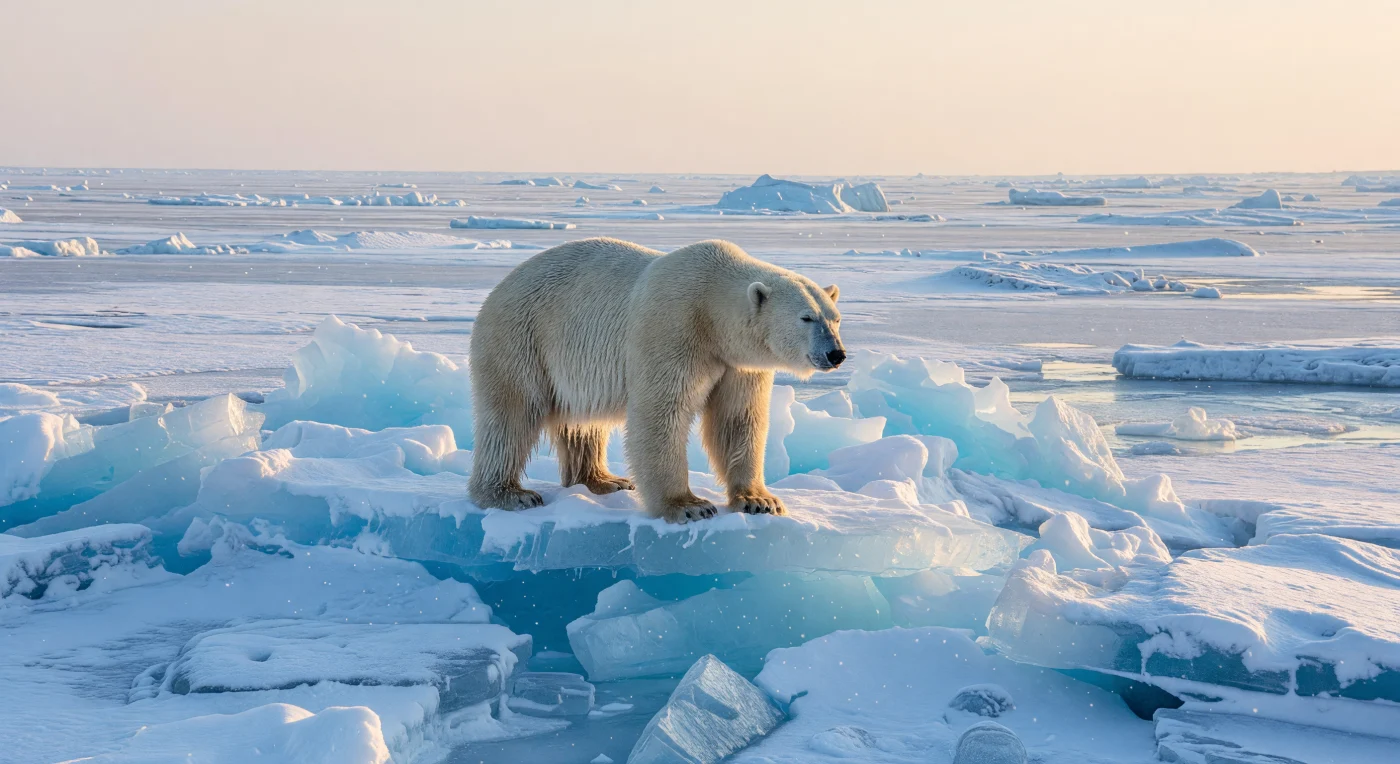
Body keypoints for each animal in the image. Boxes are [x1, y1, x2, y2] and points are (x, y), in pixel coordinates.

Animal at [467, 237, 846, 523]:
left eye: (835, 317)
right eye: (807, 318)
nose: (836, 354)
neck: (712, 307)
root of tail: (499, 287)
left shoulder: (738, 364)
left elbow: (737, 419)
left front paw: (760, 501)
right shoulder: (673, 328)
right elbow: (661, 414)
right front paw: (689, 506)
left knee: (583, 423)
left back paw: (603, 480)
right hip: (522, 337)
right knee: (512, 415)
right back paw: (510, 494)